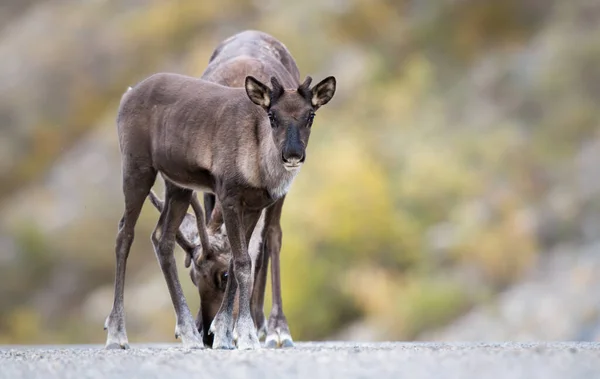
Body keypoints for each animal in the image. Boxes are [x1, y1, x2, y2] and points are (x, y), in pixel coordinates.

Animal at [105, 71, 336, 350]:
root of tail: (127, 94)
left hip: (179, 186)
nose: (292, 154)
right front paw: (245, 335)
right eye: (272, 115)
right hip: (136, 167)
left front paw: (225, 333)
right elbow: (243, 263)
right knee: (124, 235)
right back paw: (116, 334)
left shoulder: (254, 206)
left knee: (161, 238)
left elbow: (240, 261)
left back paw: (188, 333)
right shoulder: (229, 198)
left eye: (310, 115)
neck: (258, 162)